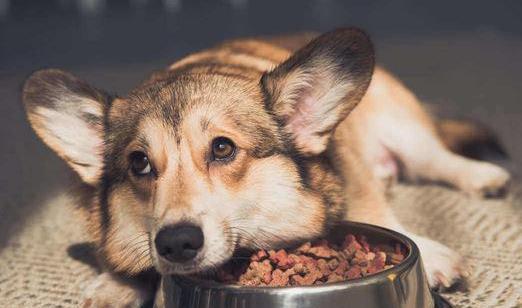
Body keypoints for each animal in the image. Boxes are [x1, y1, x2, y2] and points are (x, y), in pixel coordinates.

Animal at [21, 28, 508, 306]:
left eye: (222, 149)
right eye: (139, 163)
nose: (177, 244)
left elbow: (379, 212)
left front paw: (435, 254)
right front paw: (115, 286)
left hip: (402, 126)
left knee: (438, 158)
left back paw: (485, 177)